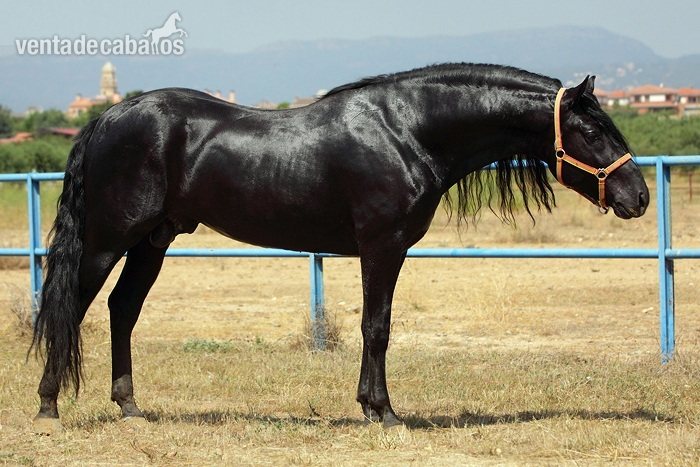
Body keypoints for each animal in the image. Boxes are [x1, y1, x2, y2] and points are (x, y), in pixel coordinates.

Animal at [30, 63, 649, 432]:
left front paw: (373, 408)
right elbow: (377, 326)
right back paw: (48, 406)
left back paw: (130, 408)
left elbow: (379, 325)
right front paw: (385, 413)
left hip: (153, 241)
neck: (408, 130)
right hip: (108, 240)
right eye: (592, 130)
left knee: (122, 310)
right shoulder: (382, 246)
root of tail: (108, 117)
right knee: (70, 307)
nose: (638, 196)